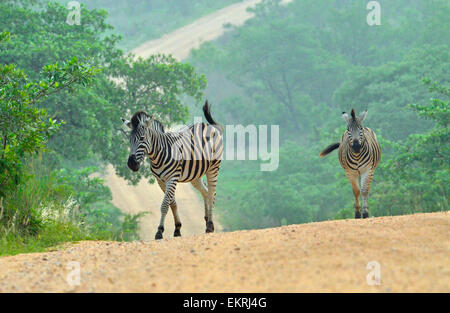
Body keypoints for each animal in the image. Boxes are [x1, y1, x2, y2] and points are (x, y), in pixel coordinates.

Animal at [121, 100, 223, 239]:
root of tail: (209, 126)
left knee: (212, 192)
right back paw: (207, 220)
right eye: (129, 139)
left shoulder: (172, 178)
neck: (158, 154)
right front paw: (177, 229)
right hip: (195, 175)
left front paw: (159, 231)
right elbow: (172, 203)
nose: (131, 164)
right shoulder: (161, 181)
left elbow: (165, 204)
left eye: (142, 138)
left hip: (213, 167)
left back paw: (210, 226)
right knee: (206, 192)